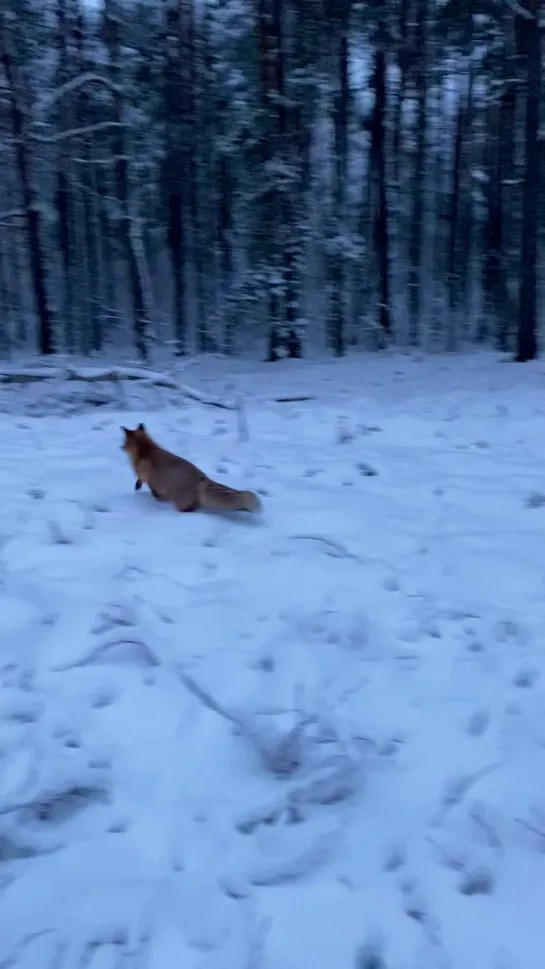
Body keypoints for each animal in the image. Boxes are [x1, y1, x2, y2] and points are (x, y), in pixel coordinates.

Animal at [121, 424, 262, 516]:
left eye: (124, 441)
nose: (120, 447)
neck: (146, 451)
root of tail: (202, 478)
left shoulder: (146, 477)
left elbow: (144, 484)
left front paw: (140, 488)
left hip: (180, 503)